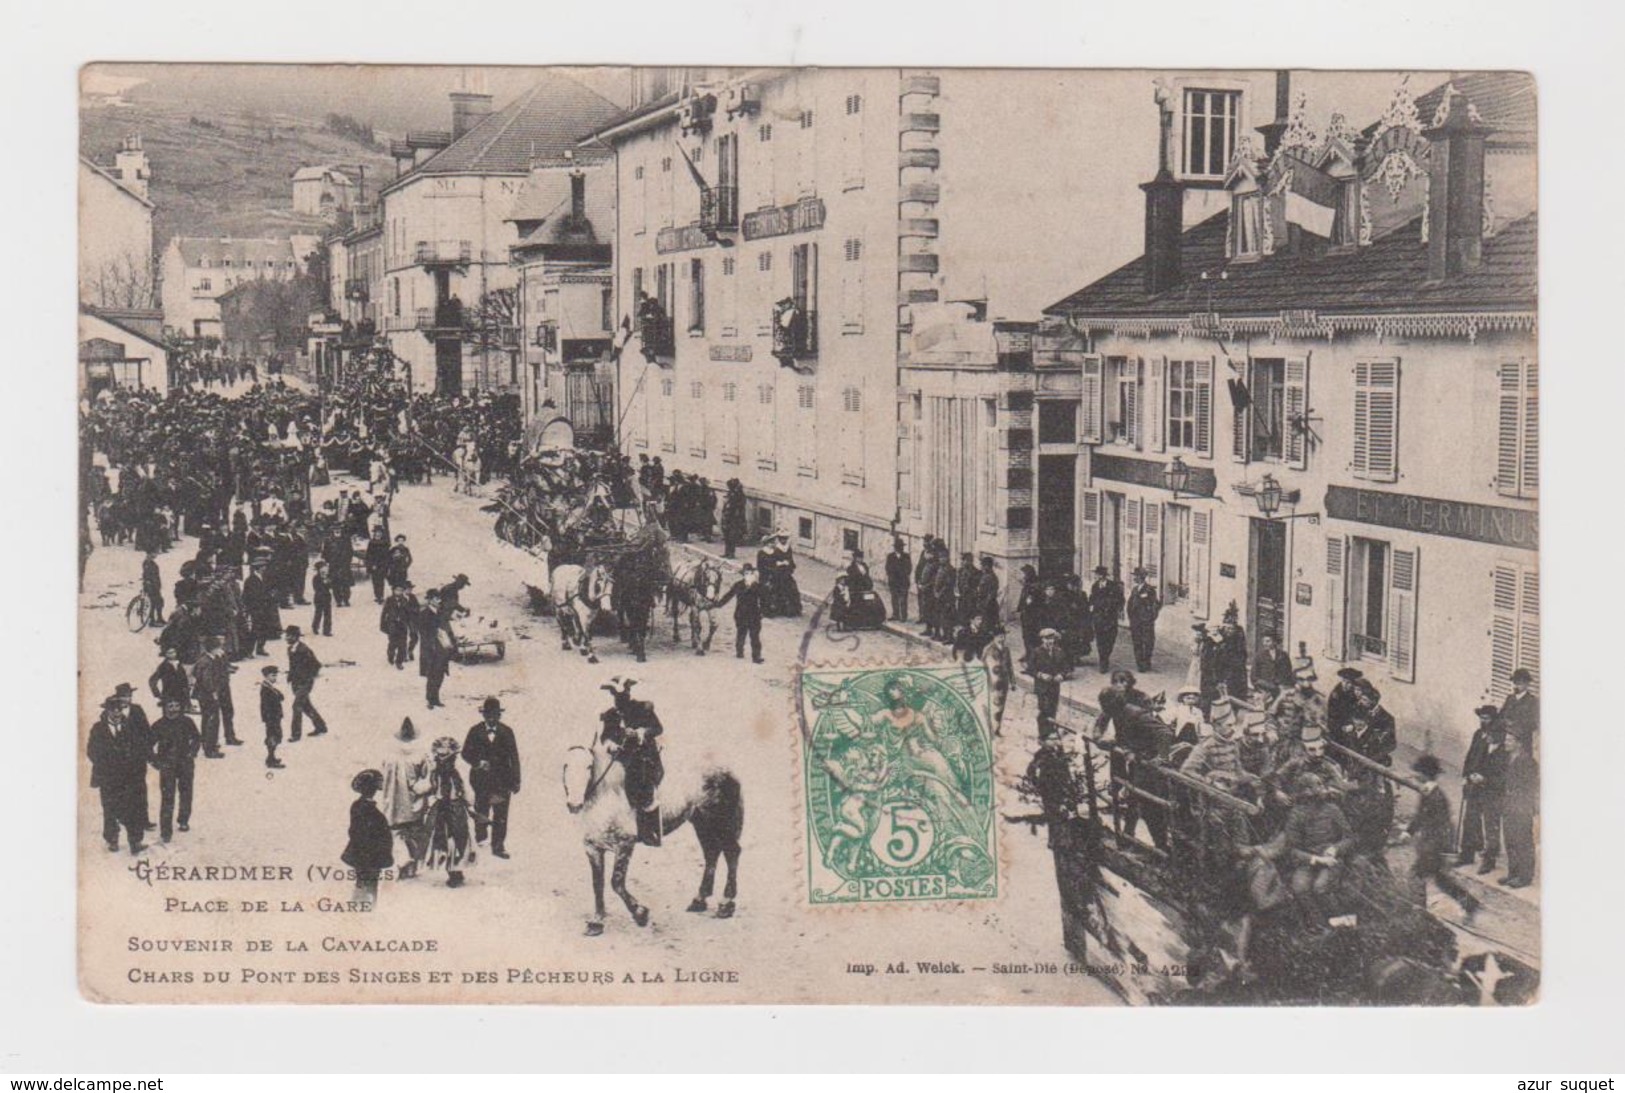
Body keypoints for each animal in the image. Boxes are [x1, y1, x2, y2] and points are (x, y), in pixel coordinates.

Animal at [562, 734, 744, 928]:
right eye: (565, 766)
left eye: (588, 767)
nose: (574, 804)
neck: (606, 795)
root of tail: (726, 768)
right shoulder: (592, 847)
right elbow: (597, 884)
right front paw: (597, 921)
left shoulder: (625, 844)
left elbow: (616, 882)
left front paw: (640, 913)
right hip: (701, 822)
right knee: (711, 853)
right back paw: (699, 900)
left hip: (720, 822)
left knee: (732, 852)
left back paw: (726, 904)